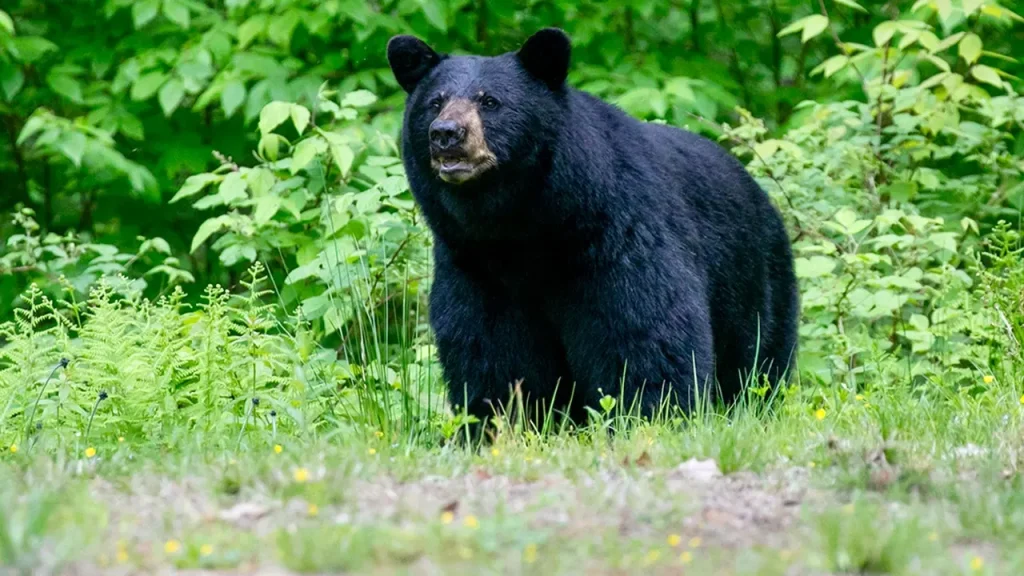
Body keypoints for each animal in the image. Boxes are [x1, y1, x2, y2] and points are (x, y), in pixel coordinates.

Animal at [386, 28, 799, 428]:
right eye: (434, 102)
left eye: (489, 101)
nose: (446, 133)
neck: (526, 229)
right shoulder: (475, 263)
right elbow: (489, 346)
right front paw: (498, 424)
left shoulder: (618, 236)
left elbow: (642, 330)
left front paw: (651, 418)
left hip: (755, 278)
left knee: (758, 358)